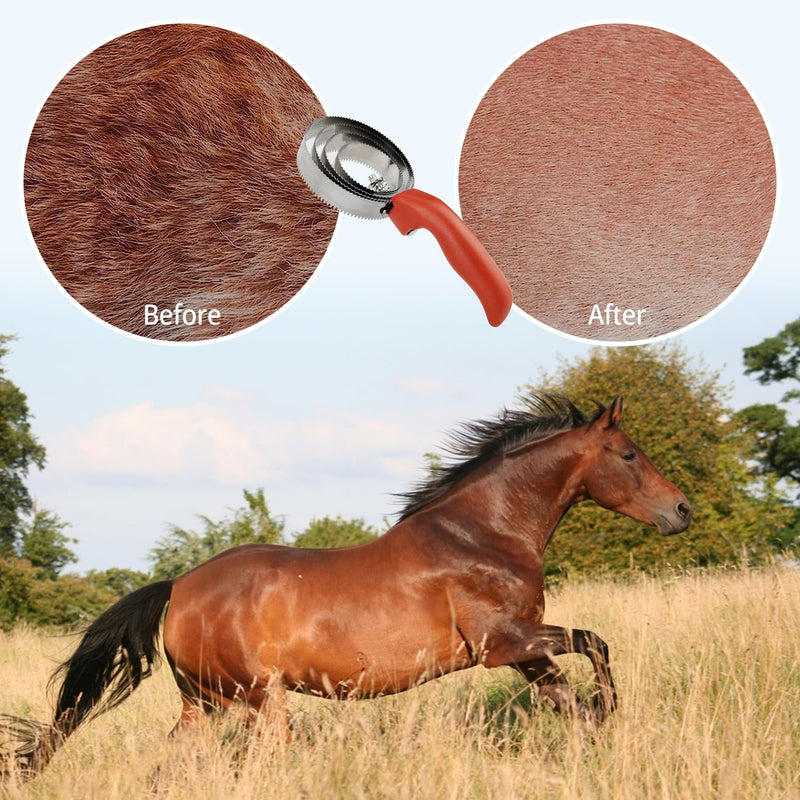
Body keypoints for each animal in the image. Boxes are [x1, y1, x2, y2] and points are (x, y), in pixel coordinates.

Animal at [1, 395, 691, 775]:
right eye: (629, 455)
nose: (681, 511)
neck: (484, 534)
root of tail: (177, 589)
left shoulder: (523, 653)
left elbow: (569, 699)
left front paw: (599, 732)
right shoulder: (503, 644)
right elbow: (596, 642)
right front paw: (610, 710)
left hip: (205, 705)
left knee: (168, 766)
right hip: (261, 702)